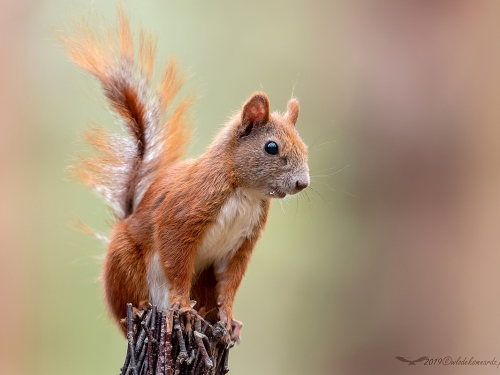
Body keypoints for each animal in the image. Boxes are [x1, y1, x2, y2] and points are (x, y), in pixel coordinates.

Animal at [63, 10, 308, 342]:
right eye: (271, 147)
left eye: (305, 147)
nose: (302, 183)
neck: (244, 192)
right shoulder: (184, 212)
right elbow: (176, 260)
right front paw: (181, 305)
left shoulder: (241, 244)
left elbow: (229, 283)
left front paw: (228, 319)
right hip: (125, 262)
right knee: (129, 303)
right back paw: (144, 308)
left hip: (202, 278)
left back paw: (206, 313)